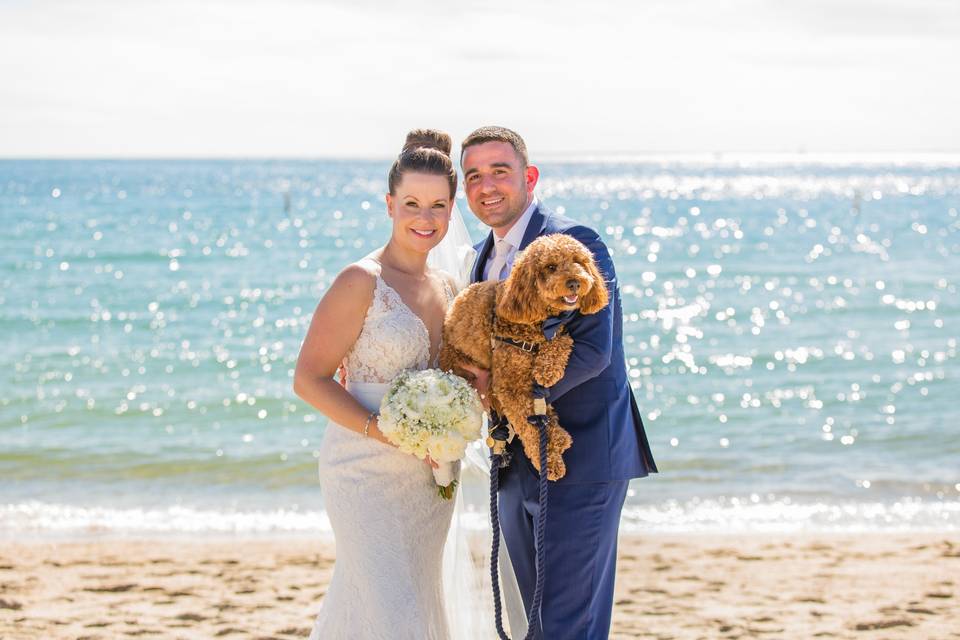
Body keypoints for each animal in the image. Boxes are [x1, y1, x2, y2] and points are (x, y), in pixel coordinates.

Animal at [440, 232, 608, 478]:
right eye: (550, 266)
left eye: (579, 261)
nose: (575, 282)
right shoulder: (509, 386)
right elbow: (528, 427)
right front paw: (549, 463)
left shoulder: (556, 334)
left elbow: (561, 342)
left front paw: (547, 370)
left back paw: (558, 435)